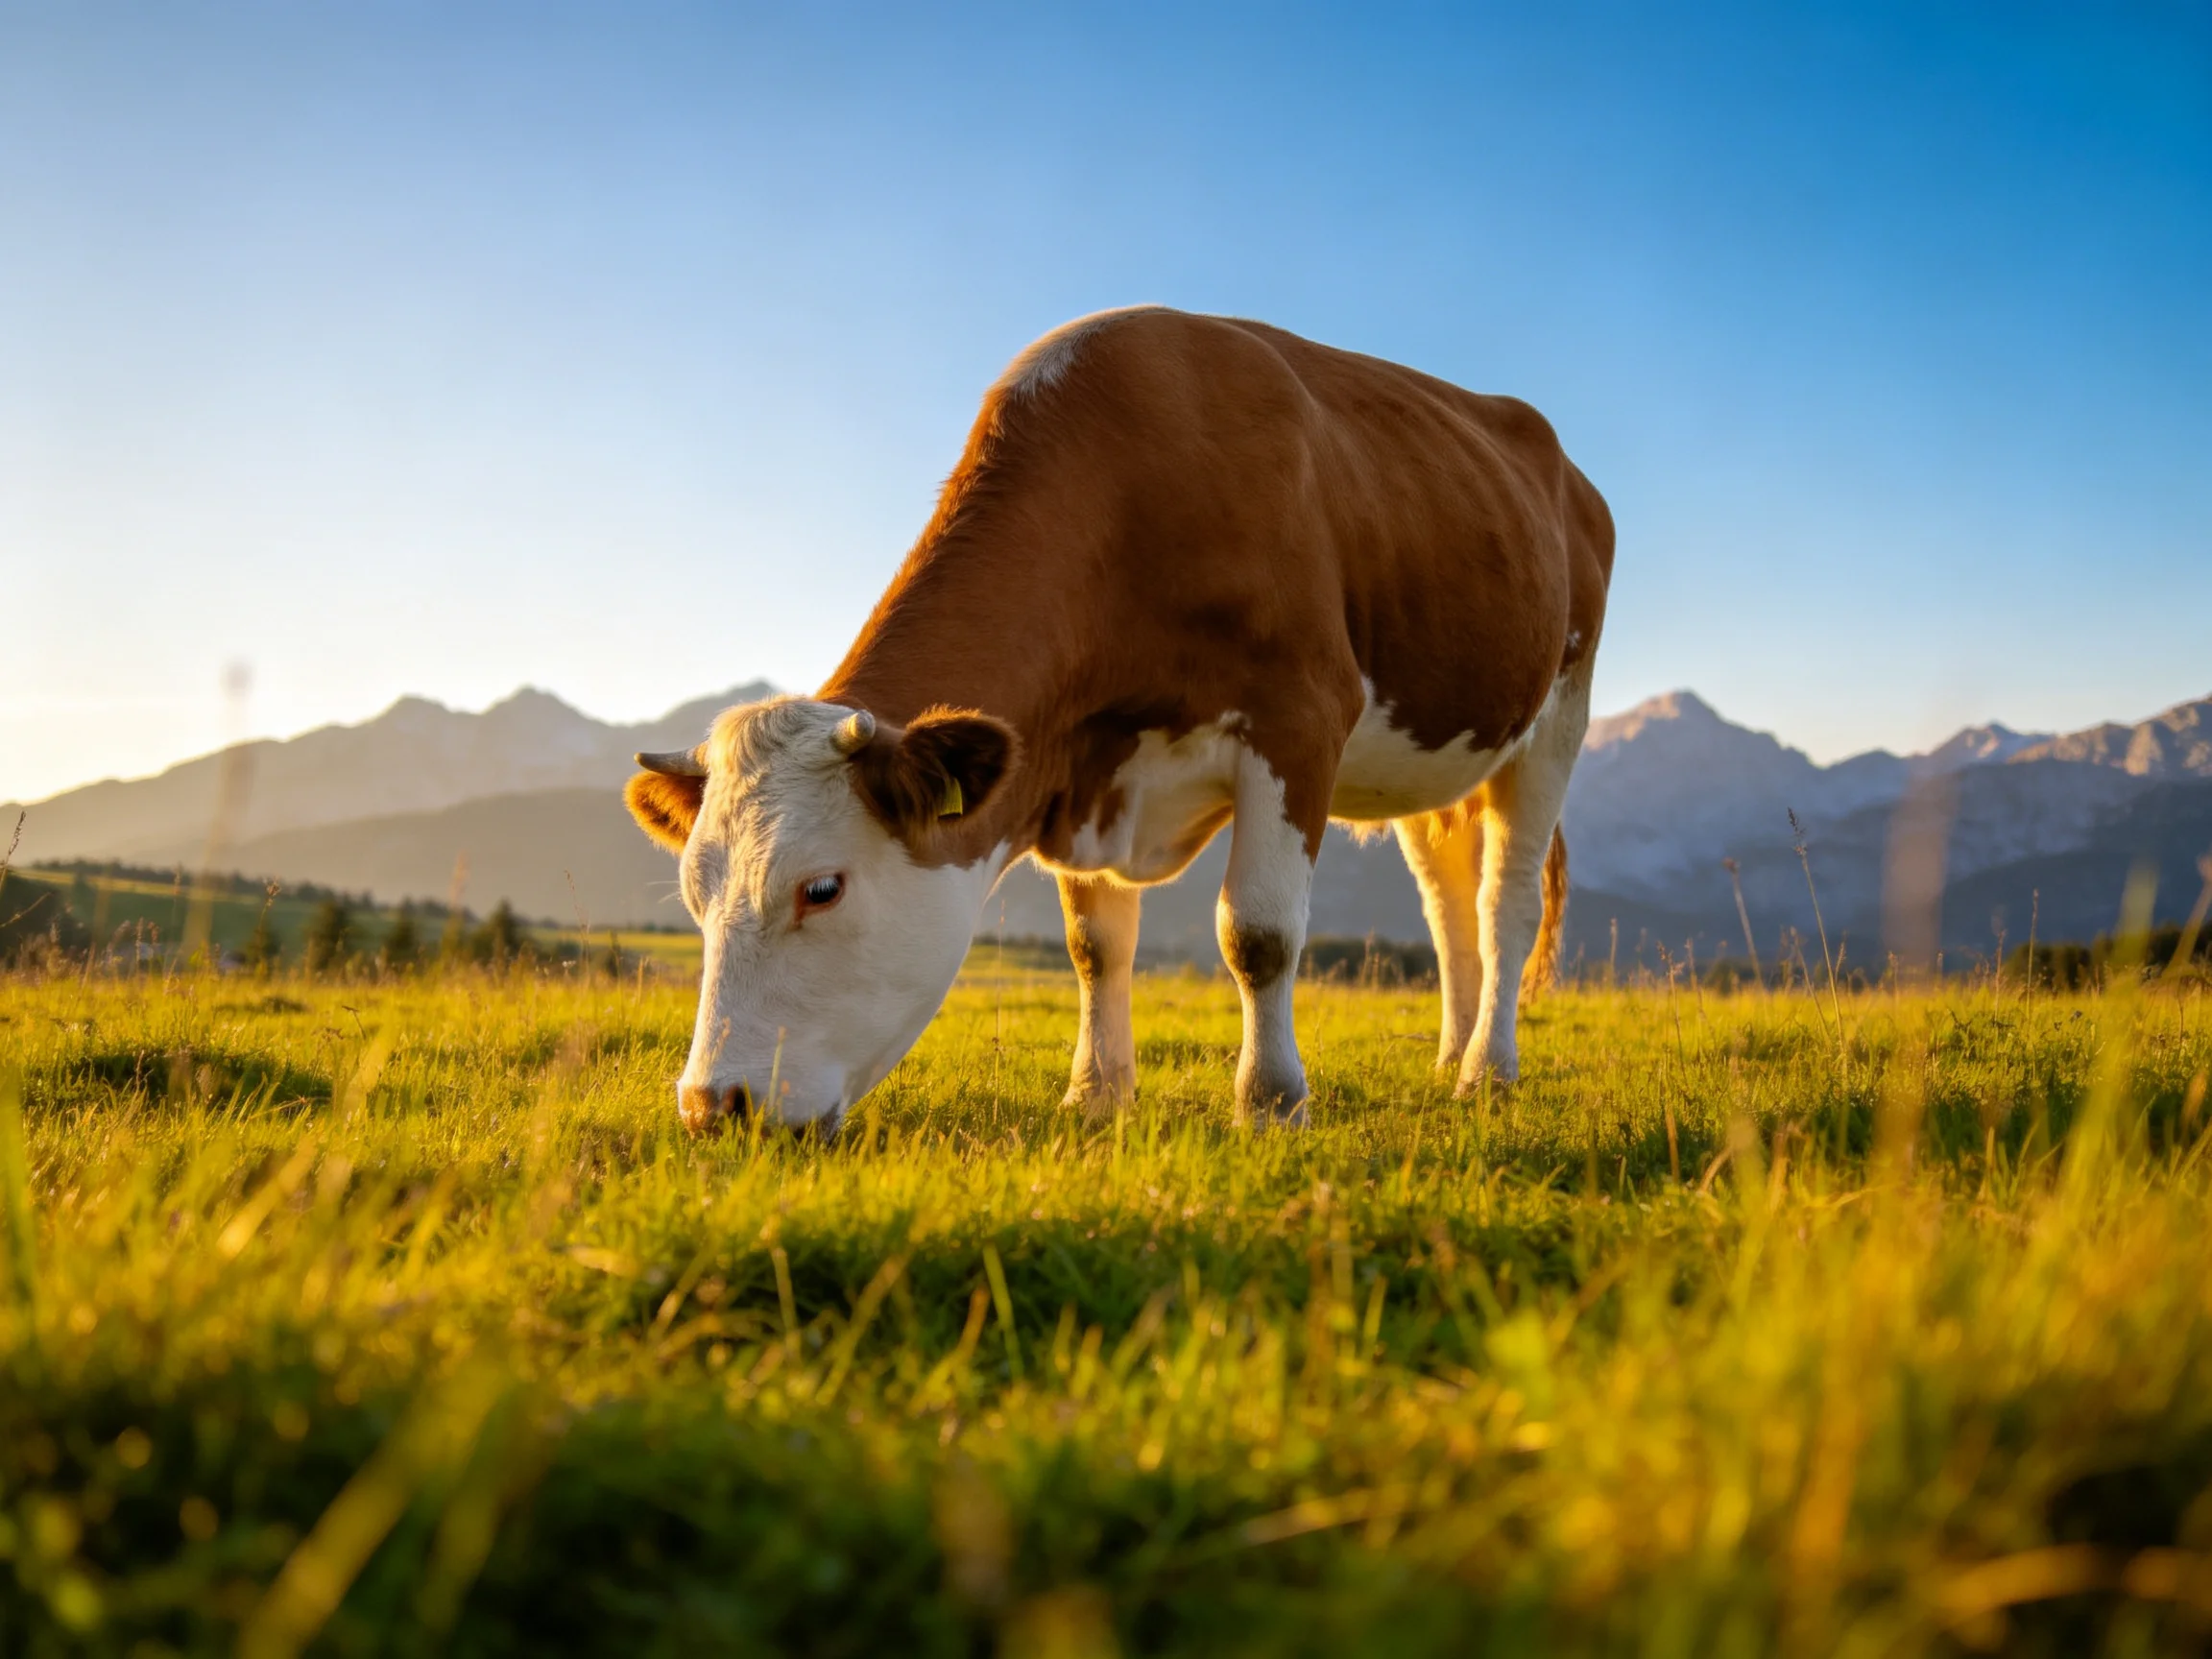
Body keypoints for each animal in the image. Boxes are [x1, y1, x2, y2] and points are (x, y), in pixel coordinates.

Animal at [626, 307, 1614, 1134]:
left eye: (821, 888)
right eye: (693, 896)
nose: (713, 1106)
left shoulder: (1299, 718)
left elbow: (1257, 934)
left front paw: (1271, 1101)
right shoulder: (1081, 764)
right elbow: (1094, 946)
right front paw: (1095, 1094)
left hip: (1558, 717)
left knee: (1504, 901)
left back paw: (1489, 1071)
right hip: (1435, 760)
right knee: (1448, 902)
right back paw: (1452, 1055)